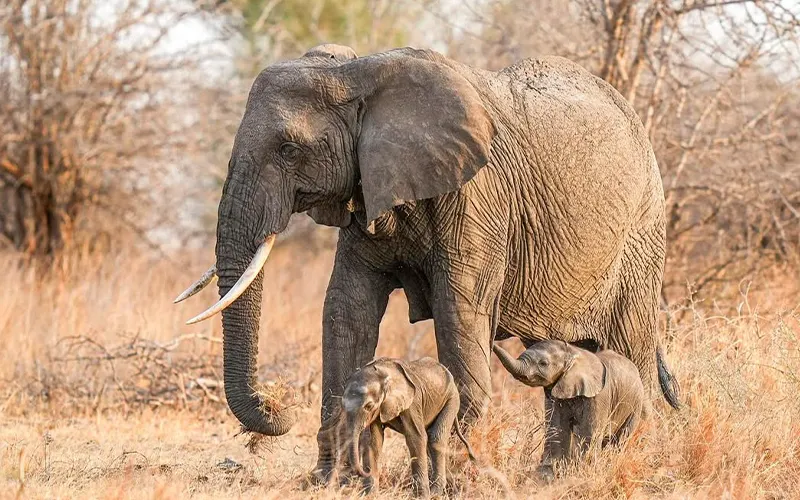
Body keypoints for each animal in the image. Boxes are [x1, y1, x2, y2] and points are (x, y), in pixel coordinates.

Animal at [338, 357, 475, 497]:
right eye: (342, 405)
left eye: (368, 406)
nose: (363, 472)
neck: (382, 373)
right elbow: (373, 442)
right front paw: (370, 495)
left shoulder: (412, 402)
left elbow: (415, 437)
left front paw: (421, 496)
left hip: (452, 399)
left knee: (435, 439)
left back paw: (435, 493)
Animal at [493, 341, 644, 478]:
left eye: (543, 363)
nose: (493, 343)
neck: (573, 352)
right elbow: (558, 429)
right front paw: (547, 475)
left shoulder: (599, 396)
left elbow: (587, 433)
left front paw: (580, 473)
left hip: (636, 404)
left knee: (620, 438)